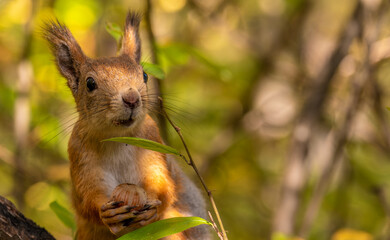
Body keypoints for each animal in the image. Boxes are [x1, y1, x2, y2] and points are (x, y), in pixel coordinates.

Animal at [43, 11, 210, 240]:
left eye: (145, 75)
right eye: (90, 83)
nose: (131, 99)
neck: (119, 138)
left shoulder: (153, 143)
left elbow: (163, 184)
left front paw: (146, 200)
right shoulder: (80, 157)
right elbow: (87, 197)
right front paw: (107, 212)